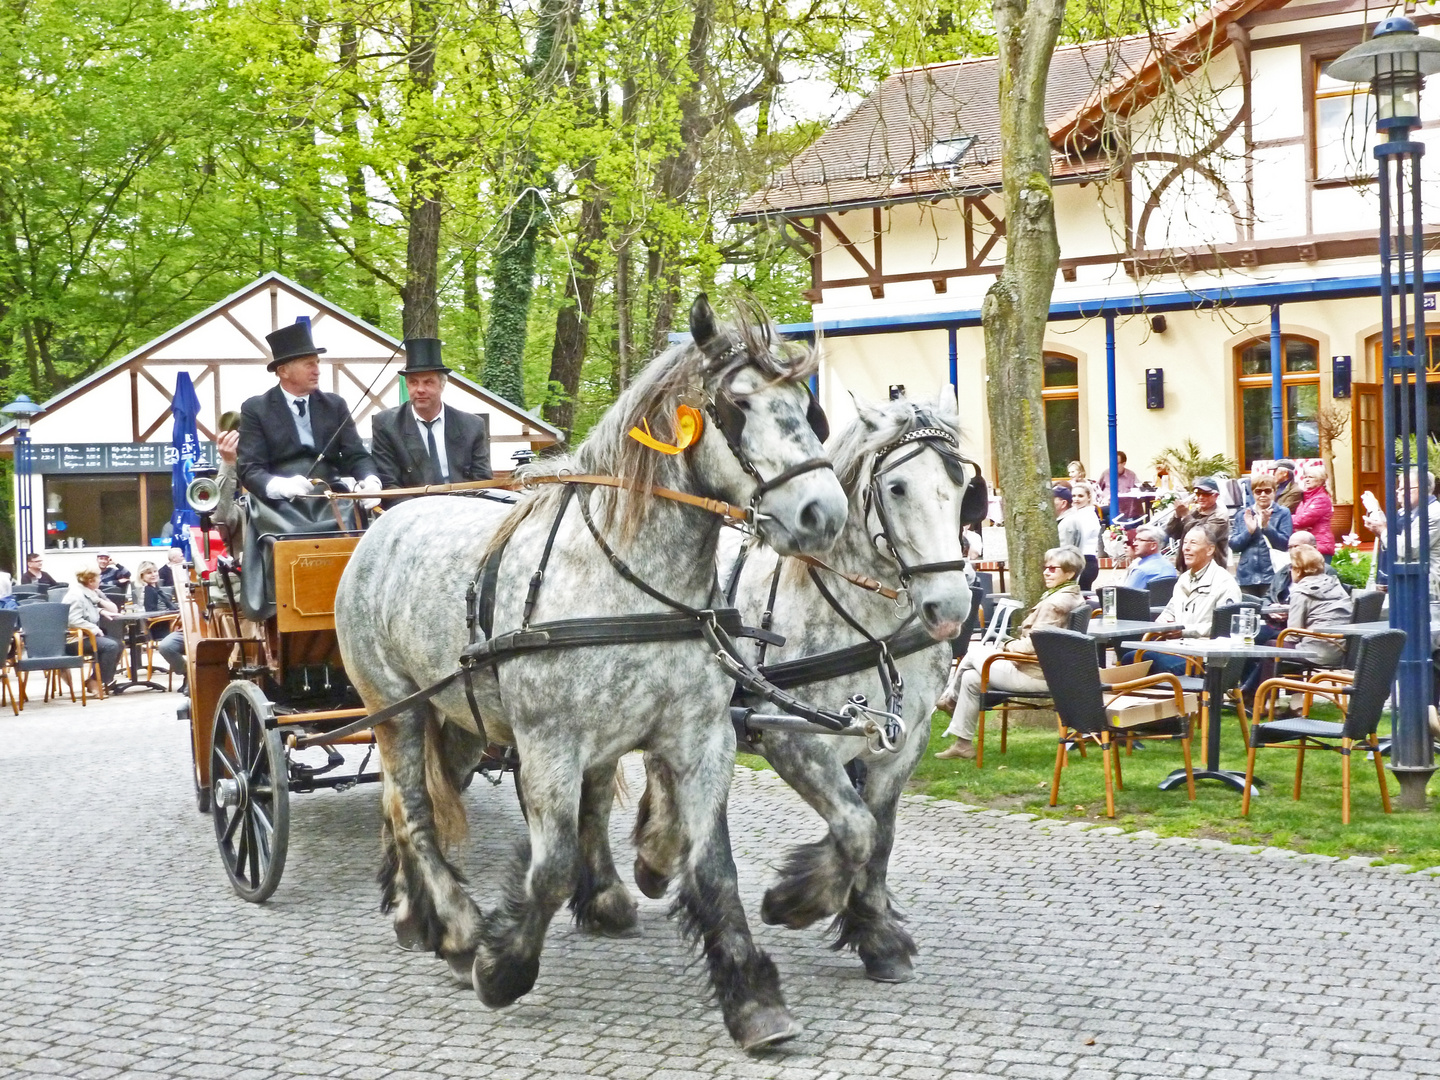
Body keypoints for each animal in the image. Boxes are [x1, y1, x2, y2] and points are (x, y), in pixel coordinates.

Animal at [334, 296, 852, 1048]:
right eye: (738, 405)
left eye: (807, 408)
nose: (824, 514)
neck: (633, 584)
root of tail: (384, 522)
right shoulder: (550, 746)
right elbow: (549, 870)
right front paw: (502, 967)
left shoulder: (701, 739)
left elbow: (714, 868)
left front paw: (753, 998)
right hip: (397, 708)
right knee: (415, 812)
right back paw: (455, 932)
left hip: (458, 722)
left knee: (407, 802)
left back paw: (411, 912)